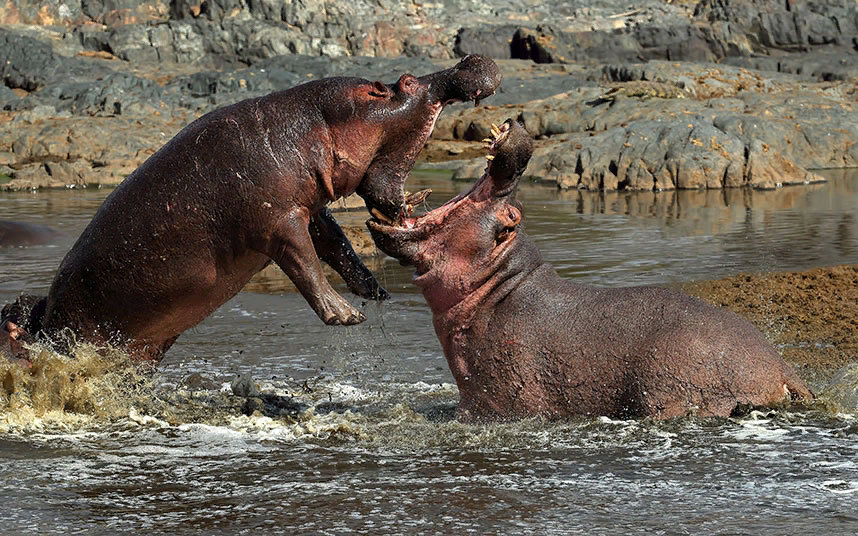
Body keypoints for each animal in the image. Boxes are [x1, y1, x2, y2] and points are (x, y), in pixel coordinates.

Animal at [3, 55, 502, 364]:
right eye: (407, 83)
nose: (468, 61)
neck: (313, 126)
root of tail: (44, 323)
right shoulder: (279, 220)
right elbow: (305, 265)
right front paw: (347, 316)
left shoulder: (310, 208)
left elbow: (337, 245)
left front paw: (374, 291)